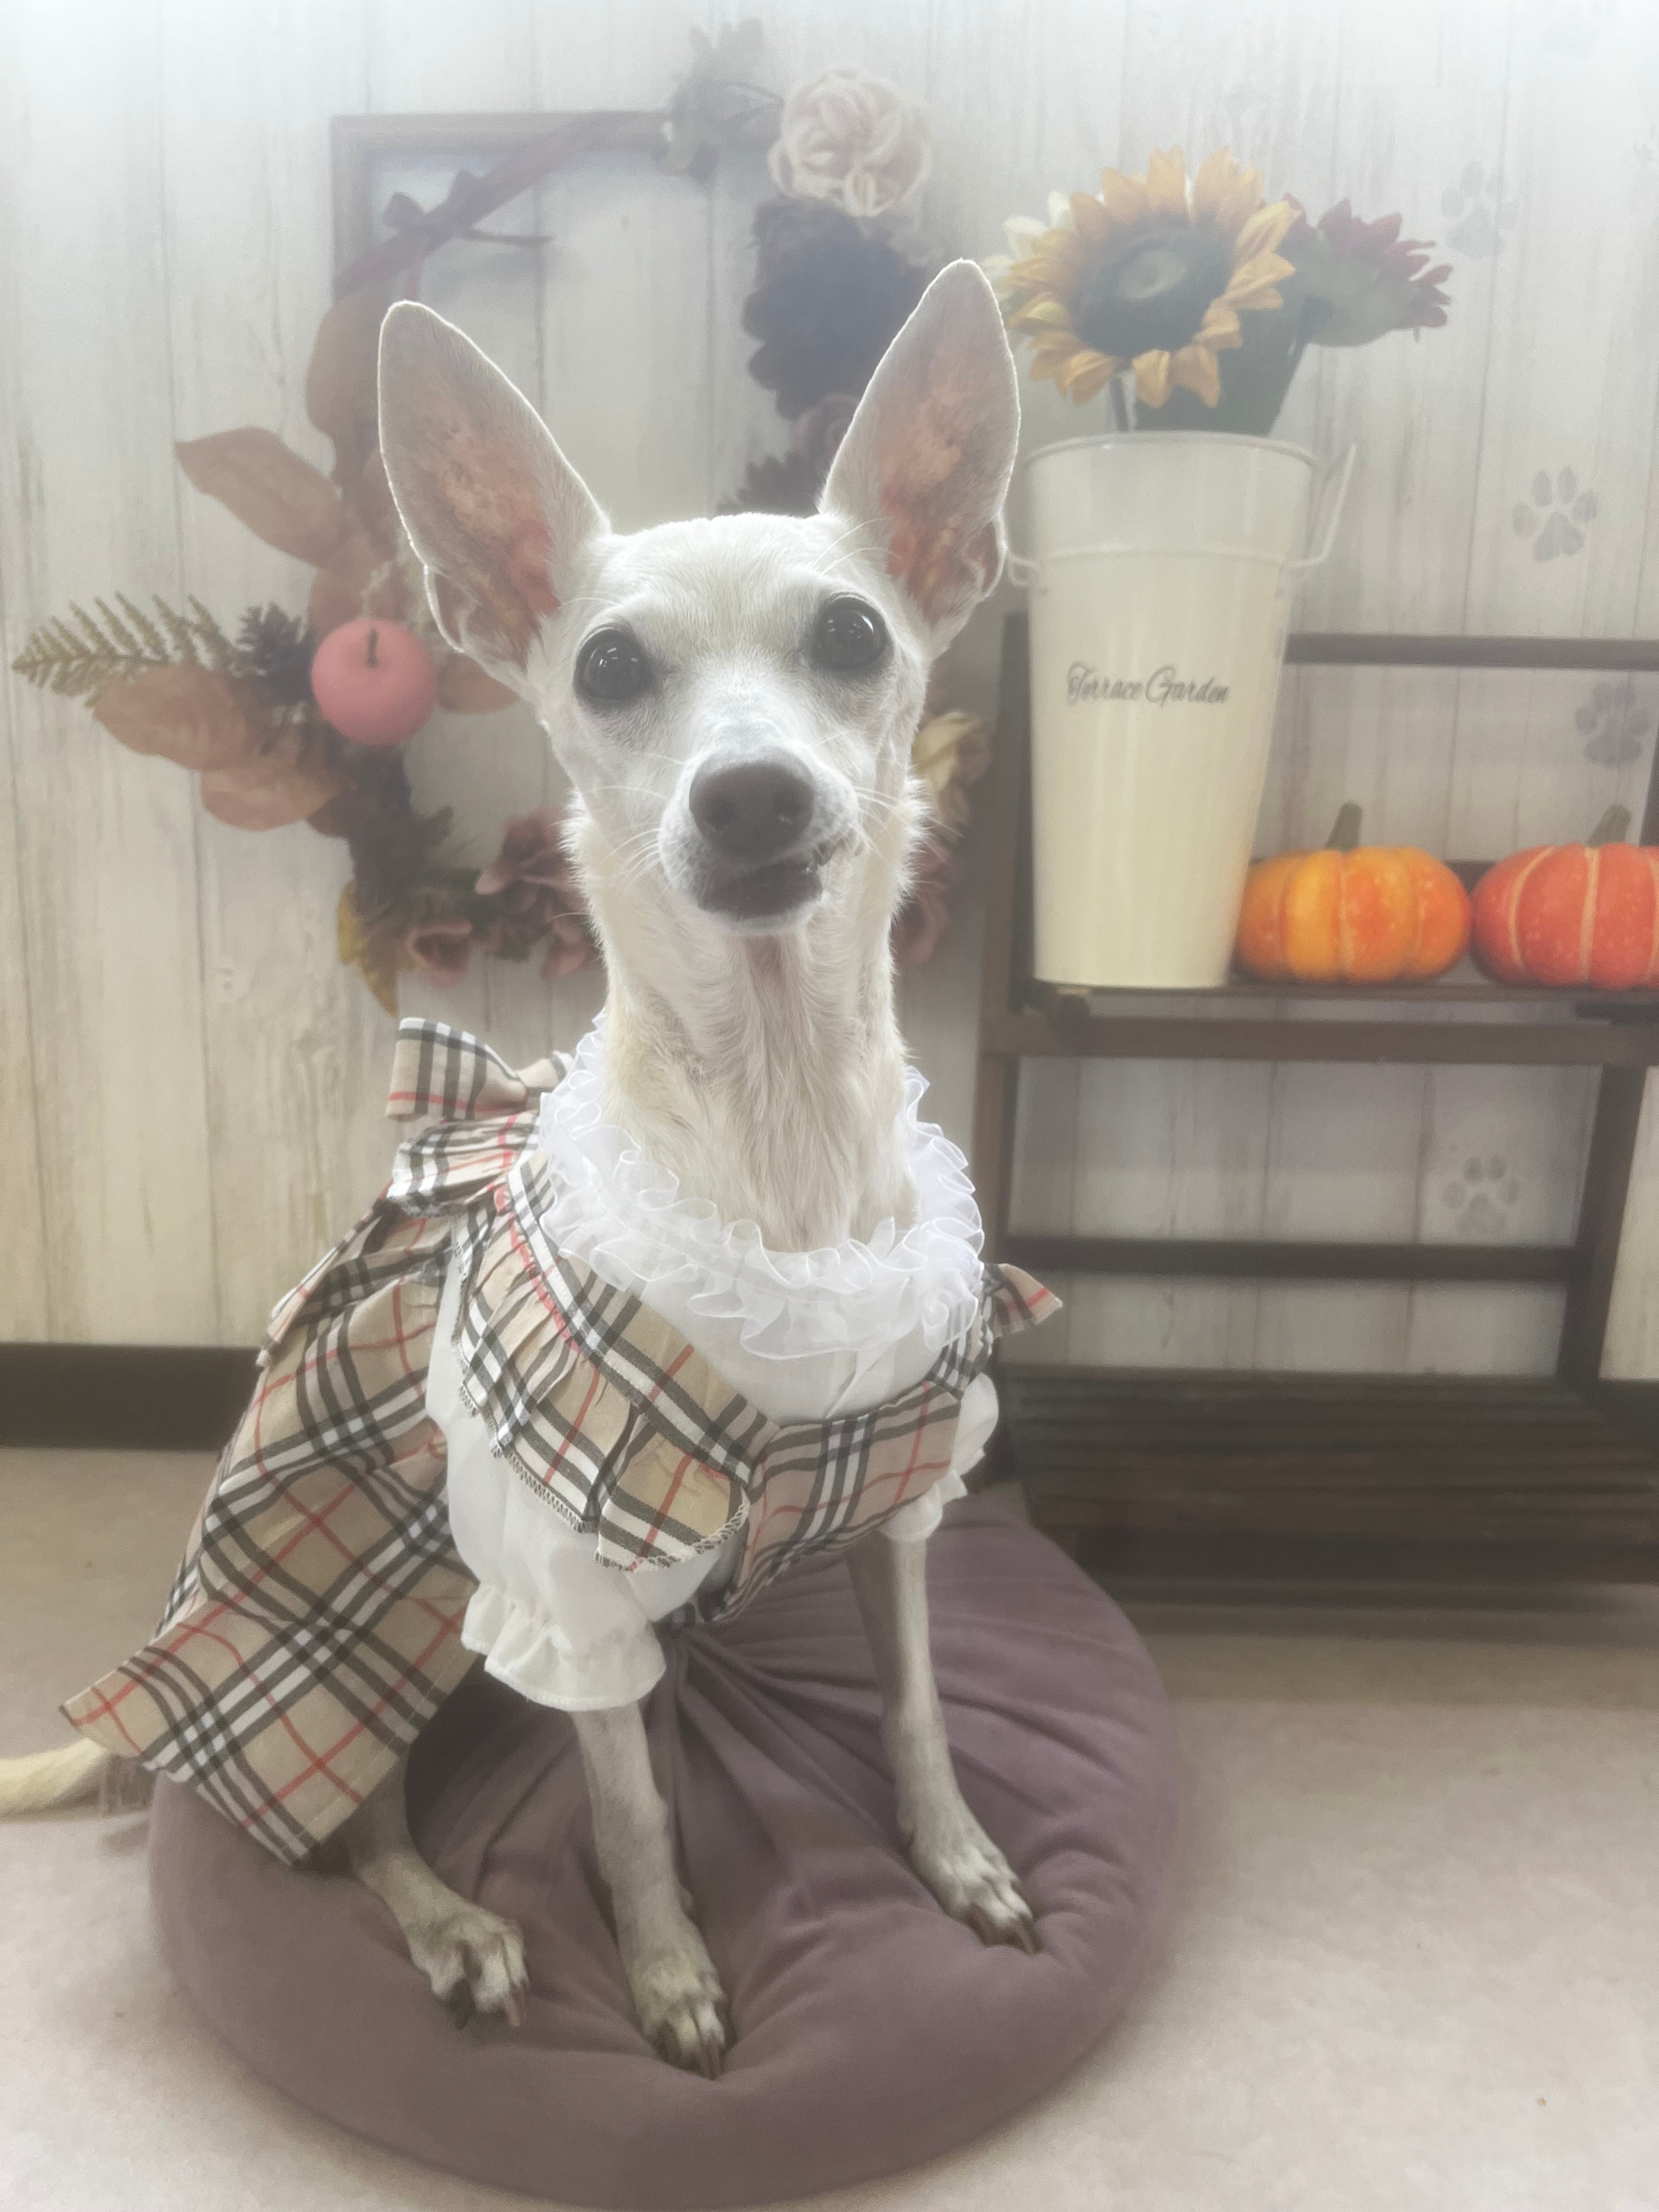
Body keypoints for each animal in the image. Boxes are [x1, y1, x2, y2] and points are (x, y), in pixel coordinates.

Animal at [0, 261, 1035, 2077]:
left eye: (854, 637)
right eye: (610, 667)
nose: (750, 798)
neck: (775, 1138)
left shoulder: (906, 1503)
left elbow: (915, 1706)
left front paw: (958, 1855)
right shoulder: (563, 1582)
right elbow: (629, 1812)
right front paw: (670, 1972)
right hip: (365, 1618)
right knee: (344, 1816)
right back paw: (457, 1927)